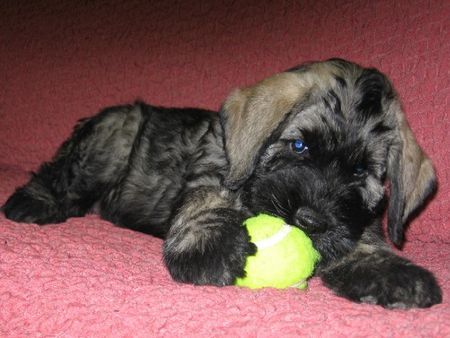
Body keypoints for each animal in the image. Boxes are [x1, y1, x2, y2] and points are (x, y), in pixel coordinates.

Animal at [1, 58, 442, 308]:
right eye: (299, 144)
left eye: (360, 171)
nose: (310, 221)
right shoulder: (213, 174)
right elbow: (208, 204)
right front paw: (211, 245)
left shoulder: (353, 221)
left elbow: (361, 239)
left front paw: (390, 272)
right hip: (113, 134)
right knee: (62, 173)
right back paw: (34, 201)